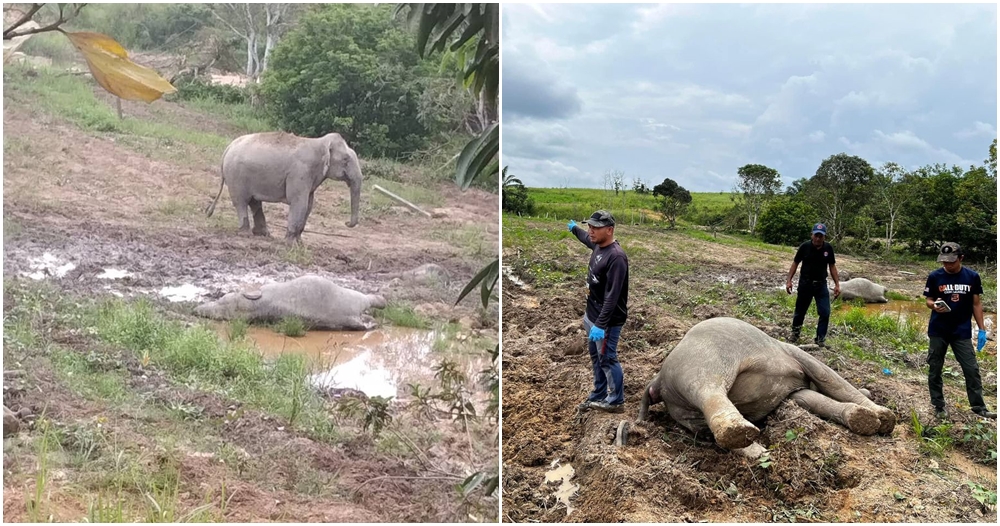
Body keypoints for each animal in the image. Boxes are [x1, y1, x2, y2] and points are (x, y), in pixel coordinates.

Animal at [205, 132, 363, 242]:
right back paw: (245, 233)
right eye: (346, 160)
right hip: (236, 176)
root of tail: (228, 147)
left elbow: (309, 205)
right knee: (241, 201)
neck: (320, 142)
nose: (346, 222)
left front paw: (299, 243)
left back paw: (264, 234)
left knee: (254, 202)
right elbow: (299, 203)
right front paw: (290, 243)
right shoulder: (300, 172)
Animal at [637, 317, 896, 450]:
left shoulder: (791, 391)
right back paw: (741, 433)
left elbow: (814, 397)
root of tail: (658, 381)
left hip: (684, 408)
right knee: (708, 389)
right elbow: (828, 377)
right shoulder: (793, 352)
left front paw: (866, 419)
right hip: (703, 361)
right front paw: (884, 417)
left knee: (706, 427)